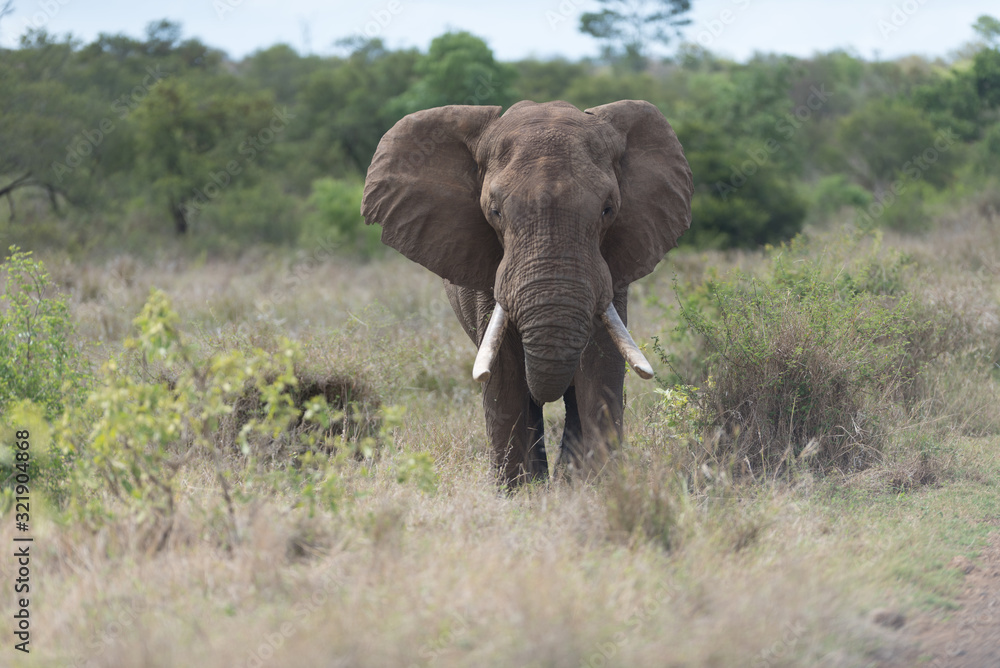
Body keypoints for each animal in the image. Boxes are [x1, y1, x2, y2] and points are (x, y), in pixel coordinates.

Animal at [361, 99, 692, 488]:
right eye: (494, 211)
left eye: (608, 210)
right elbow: (504, 373)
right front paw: (517, 493)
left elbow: (602, 364)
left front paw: (599, 487)